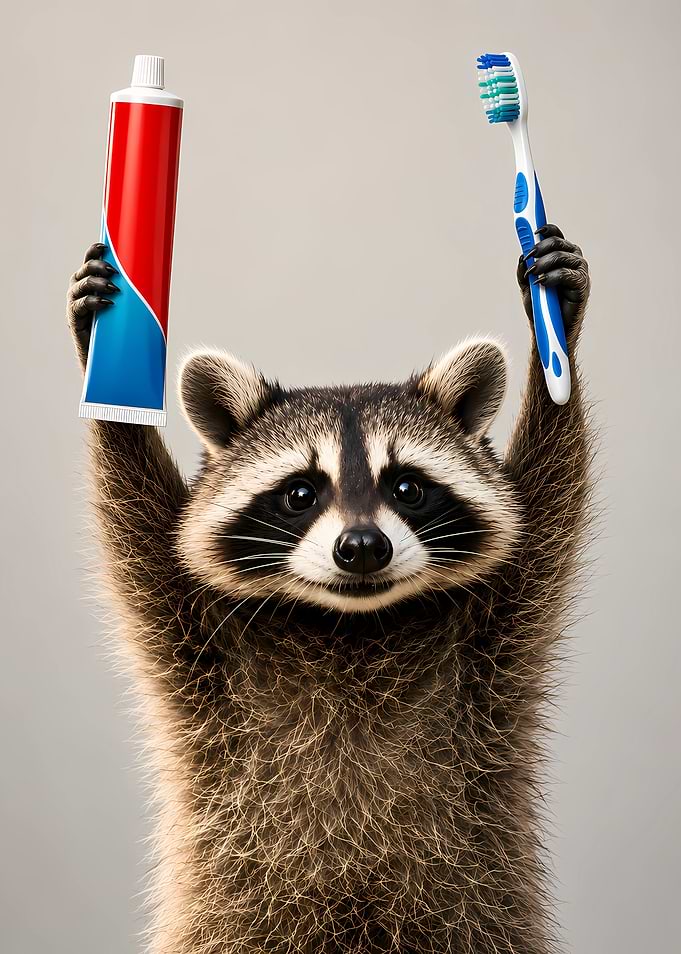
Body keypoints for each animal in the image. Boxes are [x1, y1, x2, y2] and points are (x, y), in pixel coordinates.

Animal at [67, 223, 592, 954]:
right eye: (299, 493)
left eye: (407, 487)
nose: (362, 547)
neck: (350, 622)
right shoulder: (191, 637)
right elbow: (136, 518)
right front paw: (110, 390)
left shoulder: (499, 631)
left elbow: (546, 502)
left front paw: (557, 334)